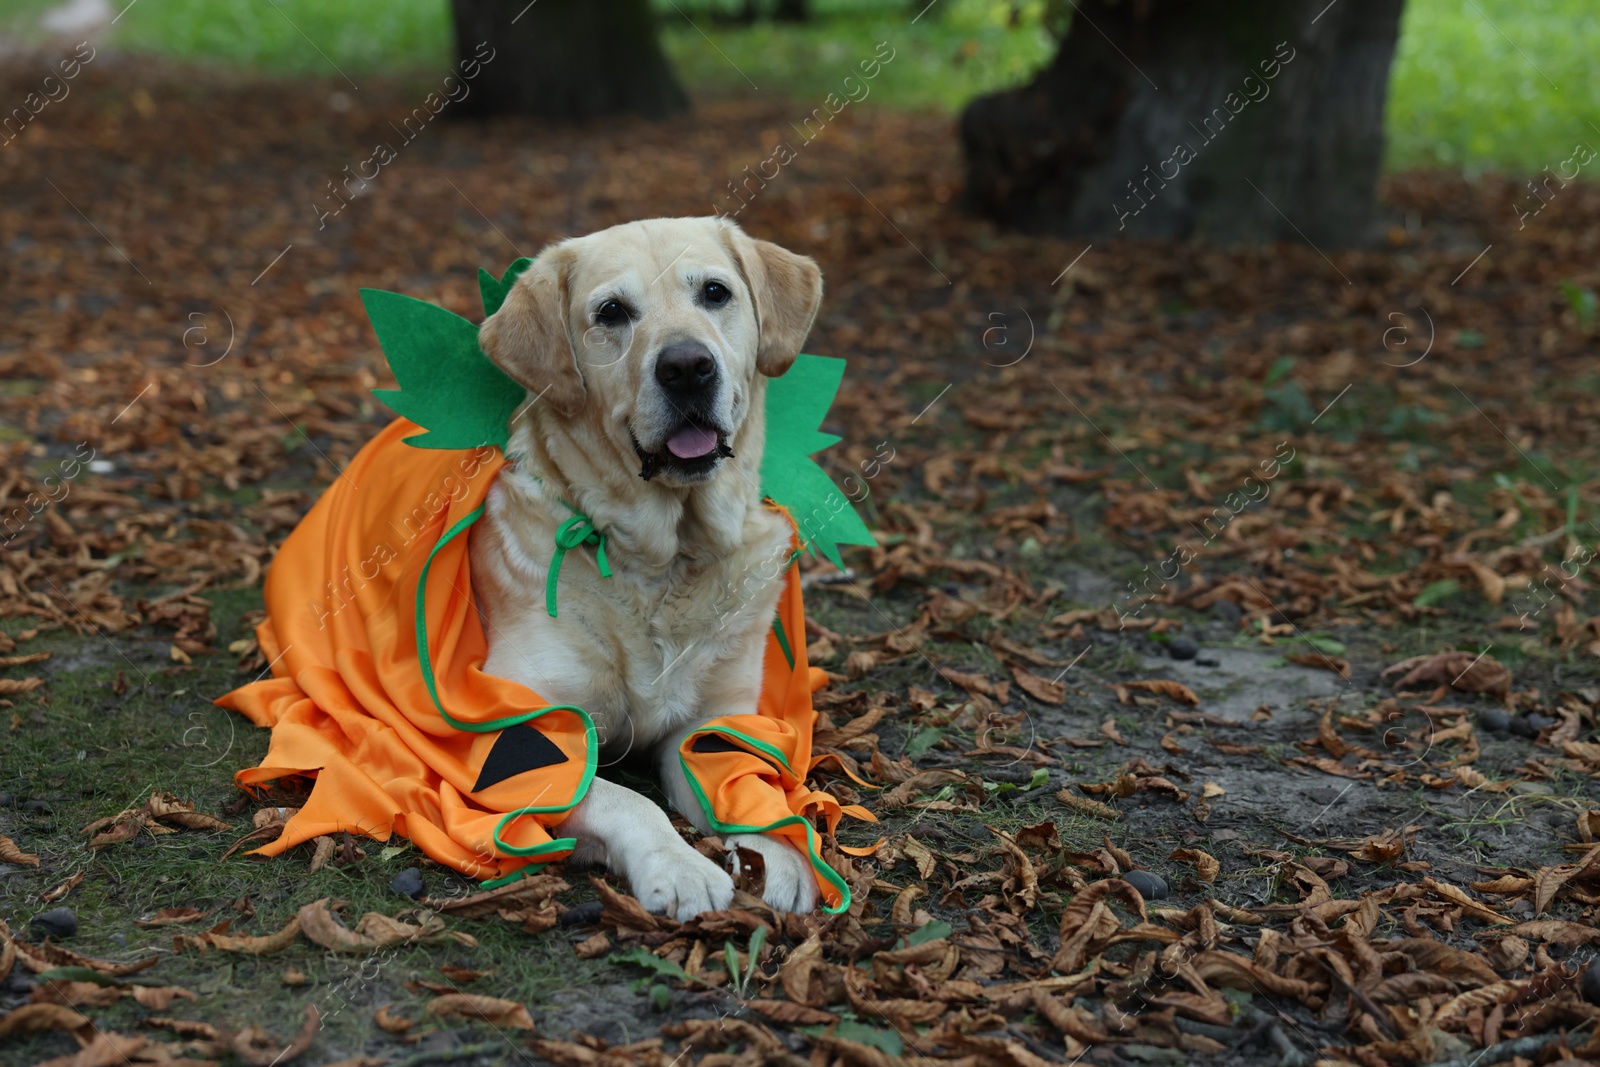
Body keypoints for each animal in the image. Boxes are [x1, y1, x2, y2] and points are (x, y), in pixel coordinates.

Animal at [467, 217, 825, 921]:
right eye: (611, 312)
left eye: (715, 292)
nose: (687, 367)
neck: (665, 560)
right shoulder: (518, 735)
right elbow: (625, 799)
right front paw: (680, 867)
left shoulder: (712, 722)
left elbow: (742, 780)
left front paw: (782, 851)